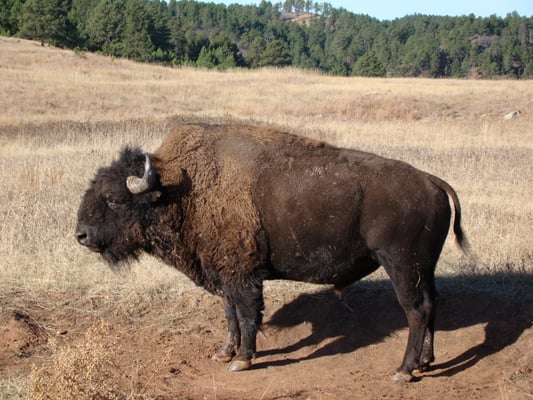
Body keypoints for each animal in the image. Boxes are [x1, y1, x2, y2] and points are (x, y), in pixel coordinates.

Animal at [76, 124, 466, 382]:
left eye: (114, 198)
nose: (81, 234)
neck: (181, 188)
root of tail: (431, 181)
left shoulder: (243, 276)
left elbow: (248, 315)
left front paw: (243, 360)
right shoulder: (223, 274)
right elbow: (230, 315)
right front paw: (224, 353)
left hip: (401, 265)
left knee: (415, 311)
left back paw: (403, 371)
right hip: (424, 269)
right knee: (431, 305)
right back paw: (426, 363)